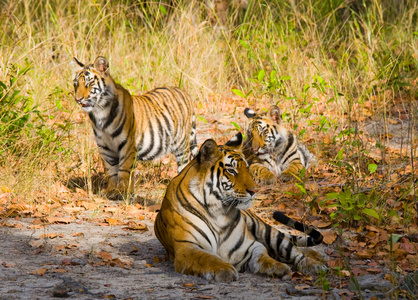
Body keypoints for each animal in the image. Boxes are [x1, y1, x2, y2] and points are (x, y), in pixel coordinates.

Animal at [70, 56, 198, 198]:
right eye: (76, 84)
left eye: (89, 84)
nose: (78, 99)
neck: (100, 112)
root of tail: (184, 92)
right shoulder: (104, 147)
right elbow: (110, 170)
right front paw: (111, 190)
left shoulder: (127, 144)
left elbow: (124, 169)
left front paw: (122, 191)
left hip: (182, 146)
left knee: (185, 164)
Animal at [155, 133, 324, 282]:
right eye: (231, 170)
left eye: (247, 169)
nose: (255, 190)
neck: (218, 212)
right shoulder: (188, 247)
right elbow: (207, 258)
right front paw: (224, 269)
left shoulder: (250, 246)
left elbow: (263, 256)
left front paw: (277, 266)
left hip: (267, 231)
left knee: (294, 249)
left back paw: (315, 263)